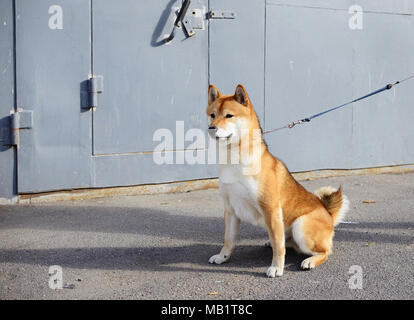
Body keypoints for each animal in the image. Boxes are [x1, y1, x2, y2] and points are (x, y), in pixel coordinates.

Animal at [205, 84, 348, 276]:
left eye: (229, 115)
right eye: (212, 115)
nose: (211, 128)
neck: (234, 161)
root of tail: (329, 215)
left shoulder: (270, 208)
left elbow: (278, 246)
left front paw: (276, 268)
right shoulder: (231, 209)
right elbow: (228, 240)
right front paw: (223, 257)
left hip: (300, 226)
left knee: (325, 251)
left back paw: (310, 261)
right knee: (287, 243)